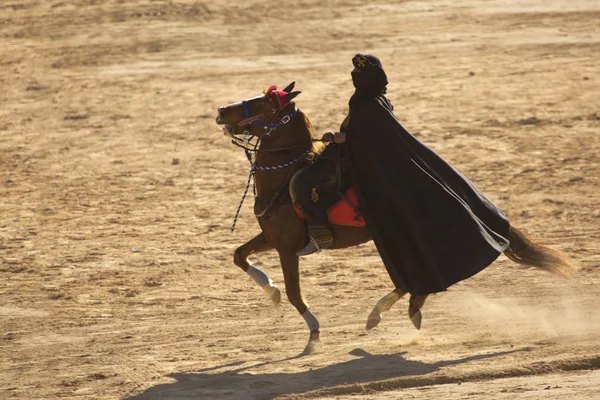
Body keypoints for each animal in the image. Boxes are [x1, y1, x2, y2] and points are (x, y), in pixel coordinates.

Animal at [214, 81, 576, 354]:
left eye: (262, 103)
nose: (220, 111)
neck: (284, 176)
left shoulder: (288, 246)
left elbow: (294, 293)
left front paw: (314, 334)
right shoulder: (274, 238)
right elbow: (239, 256)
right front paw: (270, 290)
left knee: (418, 278)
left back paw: (395, 311)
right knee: (411, 280)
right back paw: (385, 313)